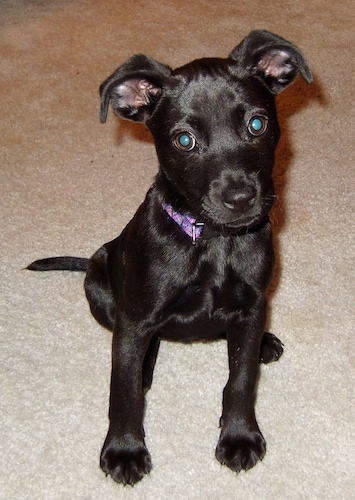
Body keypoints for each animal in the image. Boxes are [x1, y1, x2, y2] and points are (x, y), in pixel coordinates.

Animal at [27, 30, 312, 484]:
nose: (240, 198)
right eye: (184, 140)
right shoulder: (136, 316)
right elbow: (124, 391)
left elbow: (241, 378)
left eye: (257, 124)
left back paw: (264, 343)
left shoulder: (252, 306)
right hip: (99, 277)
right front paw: (124, 450)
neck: (212, 243)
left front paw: (239, 437)